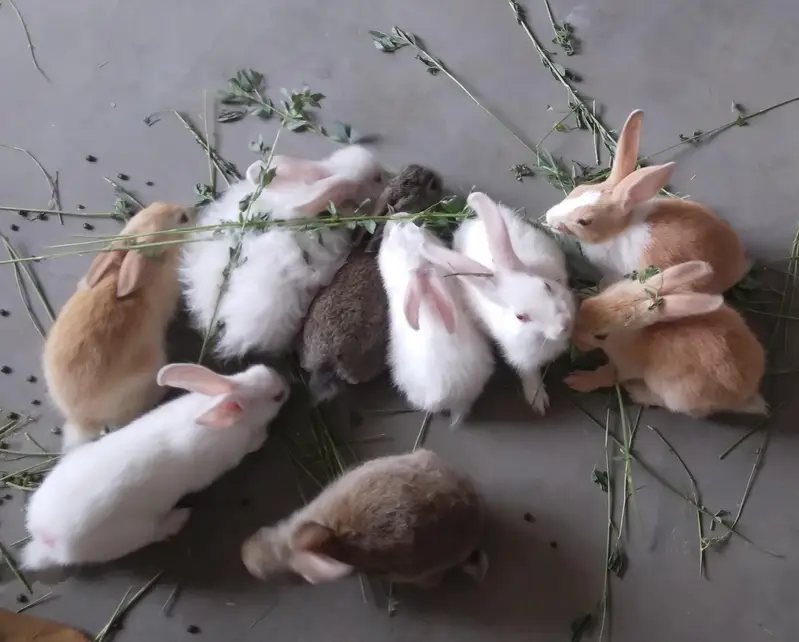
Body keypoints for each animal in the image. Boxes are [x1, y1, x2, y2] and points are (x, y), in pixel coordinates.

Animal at [22, 363, 289, 570]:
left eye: (256, 369)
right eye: (277, 396)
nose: (285, 381)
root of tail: (46, 536)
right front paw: (262, 436)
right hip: (134, 532)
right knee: (153, 534)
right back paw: (177, 520)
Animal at [421, 192, 576, 415]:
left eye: (546, 286)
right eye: (521, 317)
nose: (564, 323)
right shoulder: (522, 357)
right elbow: (530, 374)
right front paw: (538, 401)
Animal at [544, 110, 749, 294]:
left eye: (585, 221)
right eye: (578, 189)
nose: (548, 218)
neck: (618, 229)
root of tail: (738, 263)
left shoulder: (612, 272)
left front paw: (592, 289)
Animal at [565, 261, 767, 417]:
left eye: (600, 336)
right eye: (591, 302)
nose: (574, 336)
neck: (635, 337)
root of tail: (744, 394)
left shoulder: (623, 368)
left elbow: (607, 376)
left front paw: (577, 380)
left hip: (677, 395)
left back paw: (638, 393)